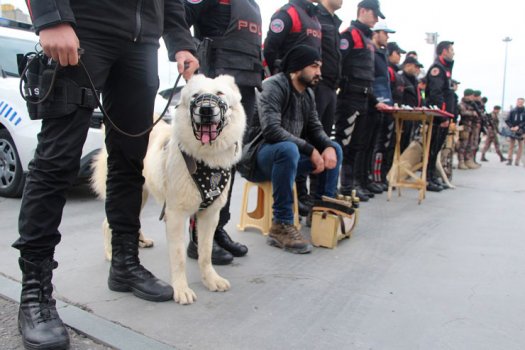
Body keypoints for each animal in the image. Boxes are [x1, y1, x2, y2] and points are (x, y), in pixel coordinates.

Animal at [90, 74, 246, 304]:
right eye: (196, 95)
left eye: (219, 93)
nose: (206, 110)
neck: (204, 158)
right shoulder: (175, 215)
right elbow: (179, 257)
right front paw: (181, 290)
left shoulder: (210, 214)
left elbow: (206, 252)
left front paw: (210, 280)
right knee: (106, 223)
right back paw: (111, 254)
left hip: (141, 195)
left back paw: (141, 241)